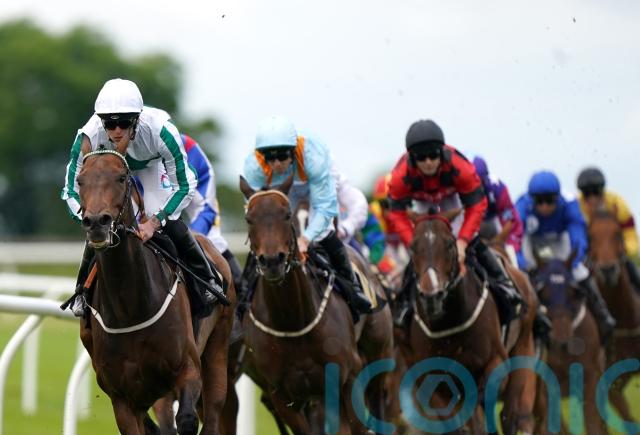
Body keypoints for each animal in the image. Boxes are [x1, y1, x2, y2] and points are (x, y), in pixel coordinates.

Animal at [76, 145, 234, 435]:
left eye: (121, 178)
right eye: (80, 181)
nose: (96, 223)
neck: (130, 307)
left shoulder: (188, 371)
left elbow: (186, 419)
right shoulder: (123, 398)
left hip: (217, 350)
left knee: (213, 413)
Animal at [237, 174, 394, 434]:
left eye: (286, 215)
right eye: (249, 219)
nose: (272, 261)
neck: (293, 320)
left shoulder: (348, 376)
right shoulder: (282, 396)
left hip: (378, 355)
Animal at [400, 211, 538, 435]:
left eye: (450, 244)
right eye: (412, 247)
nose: (432, 296)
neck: (449, 323)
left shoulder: (496, 360)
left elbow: (484, 397)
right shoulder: (434, 379)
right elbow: (457, 419)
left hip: (524, 344)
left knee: (512, 412)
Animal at [531, 256, 607, 435]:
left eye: (572, 293)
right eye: (543, 294)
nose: (560, 336)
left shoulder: (591, 376)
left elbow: (593, 420)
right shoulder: (548, 385)